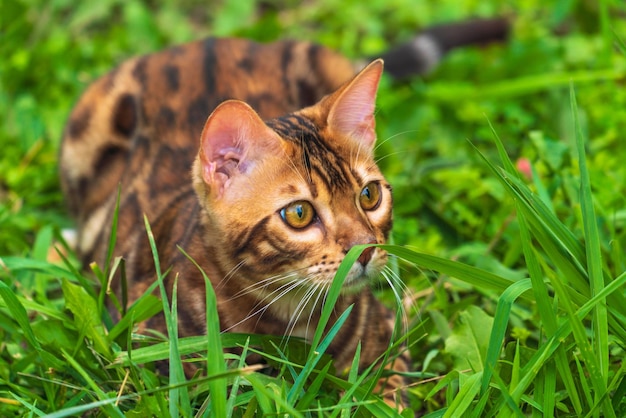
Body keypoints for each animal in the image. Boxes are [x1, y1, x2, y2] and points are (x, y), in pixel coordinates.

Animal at [59, 18, 508, 408]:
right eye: (299, 214)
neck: (290, 317)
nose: (364, 249)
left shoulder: (387, 342)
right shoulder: (144, 350)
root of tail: (204, 41)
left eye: (369, 195)